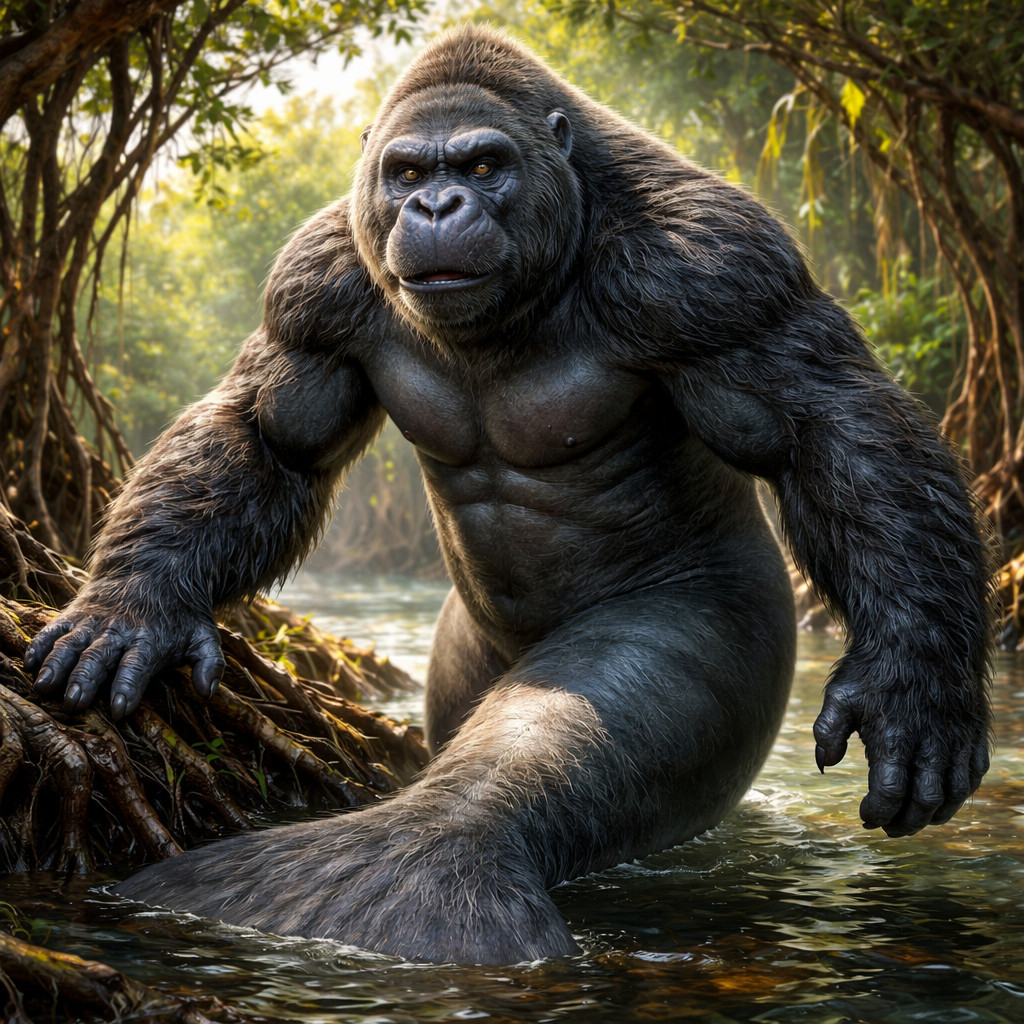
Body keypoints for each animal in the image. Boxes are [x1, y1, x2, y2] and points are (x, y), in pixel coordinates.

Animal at [24, 25, 993, 965]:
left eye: (484, 165)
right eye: (410, 173)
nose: (438, 208)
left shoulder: (715, 266)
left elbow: (824, 422)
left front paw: (916, 687)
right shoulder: (315, 279)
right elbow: (270, 433)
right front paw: (134, 605)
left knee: (577, 723)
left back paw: (434, 847)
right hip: (462, 658)